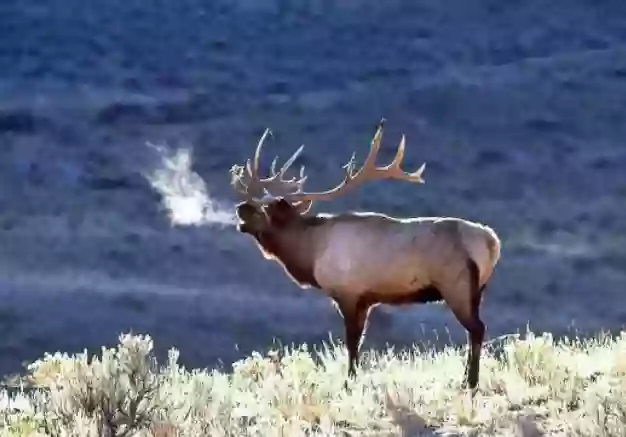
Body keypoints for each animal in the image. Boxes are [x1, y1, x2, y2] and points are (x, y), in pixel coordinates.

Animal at [227, 119, 500, 392]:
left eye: (262, 209)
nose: (240, 209)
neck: (310, 251)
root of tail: (491, 242)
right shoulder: (368, 300)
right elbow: (358, 342)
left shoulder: (348, 293)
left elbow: (351, 342)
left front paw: (349, 382)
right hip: (477, 291)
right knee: (473, 331)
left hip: (456, 285)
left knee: (477, 329)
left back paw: (471, 383)